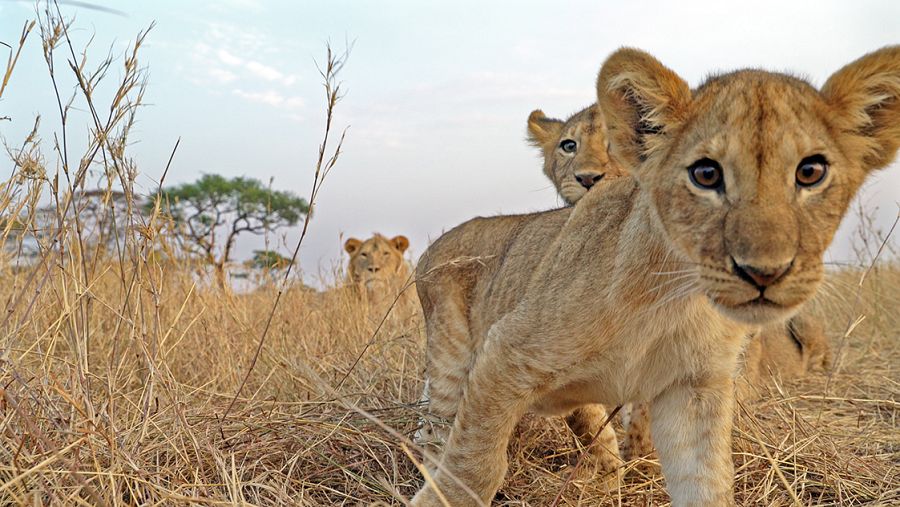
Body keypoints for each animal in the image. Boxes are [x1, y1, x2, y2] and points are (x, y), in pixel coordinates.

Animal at [411, 46, 900, 507]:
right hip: (449, 358)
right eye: (706, 174)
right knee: (437, 427)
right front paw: (442, 496)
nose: (765, 271)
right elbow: (476, 461)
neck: (677, 296)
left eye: (810, 172)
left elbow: (702, 481)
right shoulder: (505, 353)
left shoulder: (692, 389)